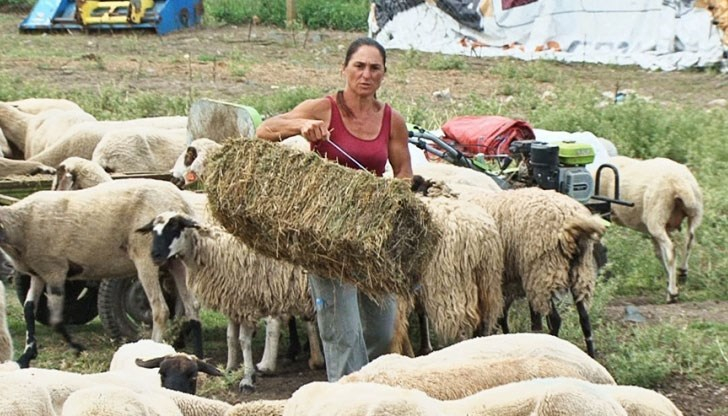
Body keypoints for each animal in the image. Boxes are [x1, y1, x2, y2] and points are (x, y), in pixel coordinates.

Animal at [0, 179, 202, 368]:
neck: (22, 223)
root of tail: (181, 201)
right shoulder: (38, 273)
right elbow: (29, 309)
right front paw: (26, 356)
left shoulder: (55, 270)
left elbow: (55, 319)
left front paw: (77, 347)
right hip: (175, 260)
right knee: (192, 305)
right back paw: (196, 352)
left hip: (146, 255)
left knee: (160, 309)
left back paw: (152, 350)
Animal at [139, 213, 324, 392]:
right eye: (153, 231)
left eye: (174, 227)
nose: (155, 255)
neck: (215, 252)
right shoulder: (233, 304)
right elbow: (230, 338)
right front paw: (229, 369)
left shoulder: (246, 304)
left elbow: (243, 341)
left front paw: (247, 379)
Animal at [592, 156, 704, 302]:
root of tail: (678, 183)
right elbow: (659, 253)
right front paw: (670, 278)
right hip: (694, 213)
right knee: (689, 241)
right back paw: (682, 273)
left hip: (656, 217)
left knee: (671, 250)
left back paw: (672, 293)